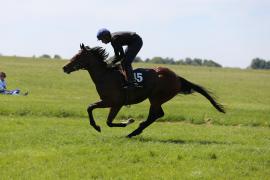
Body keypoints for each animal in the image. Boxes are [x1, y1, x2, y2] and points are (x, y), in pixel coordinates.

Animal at [62, 44, 225, 137]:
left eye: (78, 56)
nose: (65, 67)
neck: (106, 75)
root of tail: (177, 77)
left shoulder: (115, 102)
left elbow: (106, 120)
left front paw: (127, 121)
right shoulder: (108, 101)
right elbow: (90, 108)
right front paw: (97, 126)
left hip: (156, 97)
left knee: (156, 114)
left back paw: (134, 131)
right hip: (156, 98)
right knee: (157, 114)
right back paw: (136, 130)